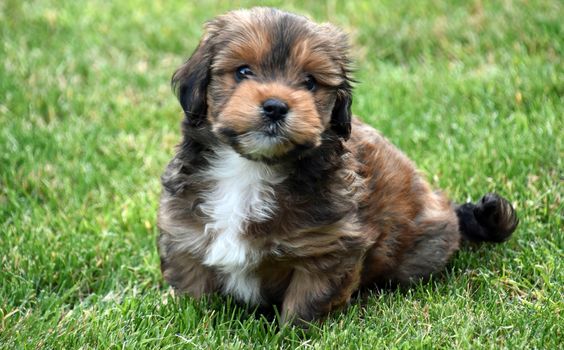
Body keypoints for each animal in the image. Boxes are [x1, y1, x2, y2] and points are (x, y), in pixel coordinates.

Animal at [156, 7, 516, 326]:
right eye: (243, 72)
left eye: (310, 82)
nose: (275, 107)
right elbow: (192, 287)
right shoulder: (183, 233)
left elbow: (306, 301)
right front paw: (188, 315)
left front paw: (293, 334)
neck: (249, 170)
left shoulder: (329, 247)